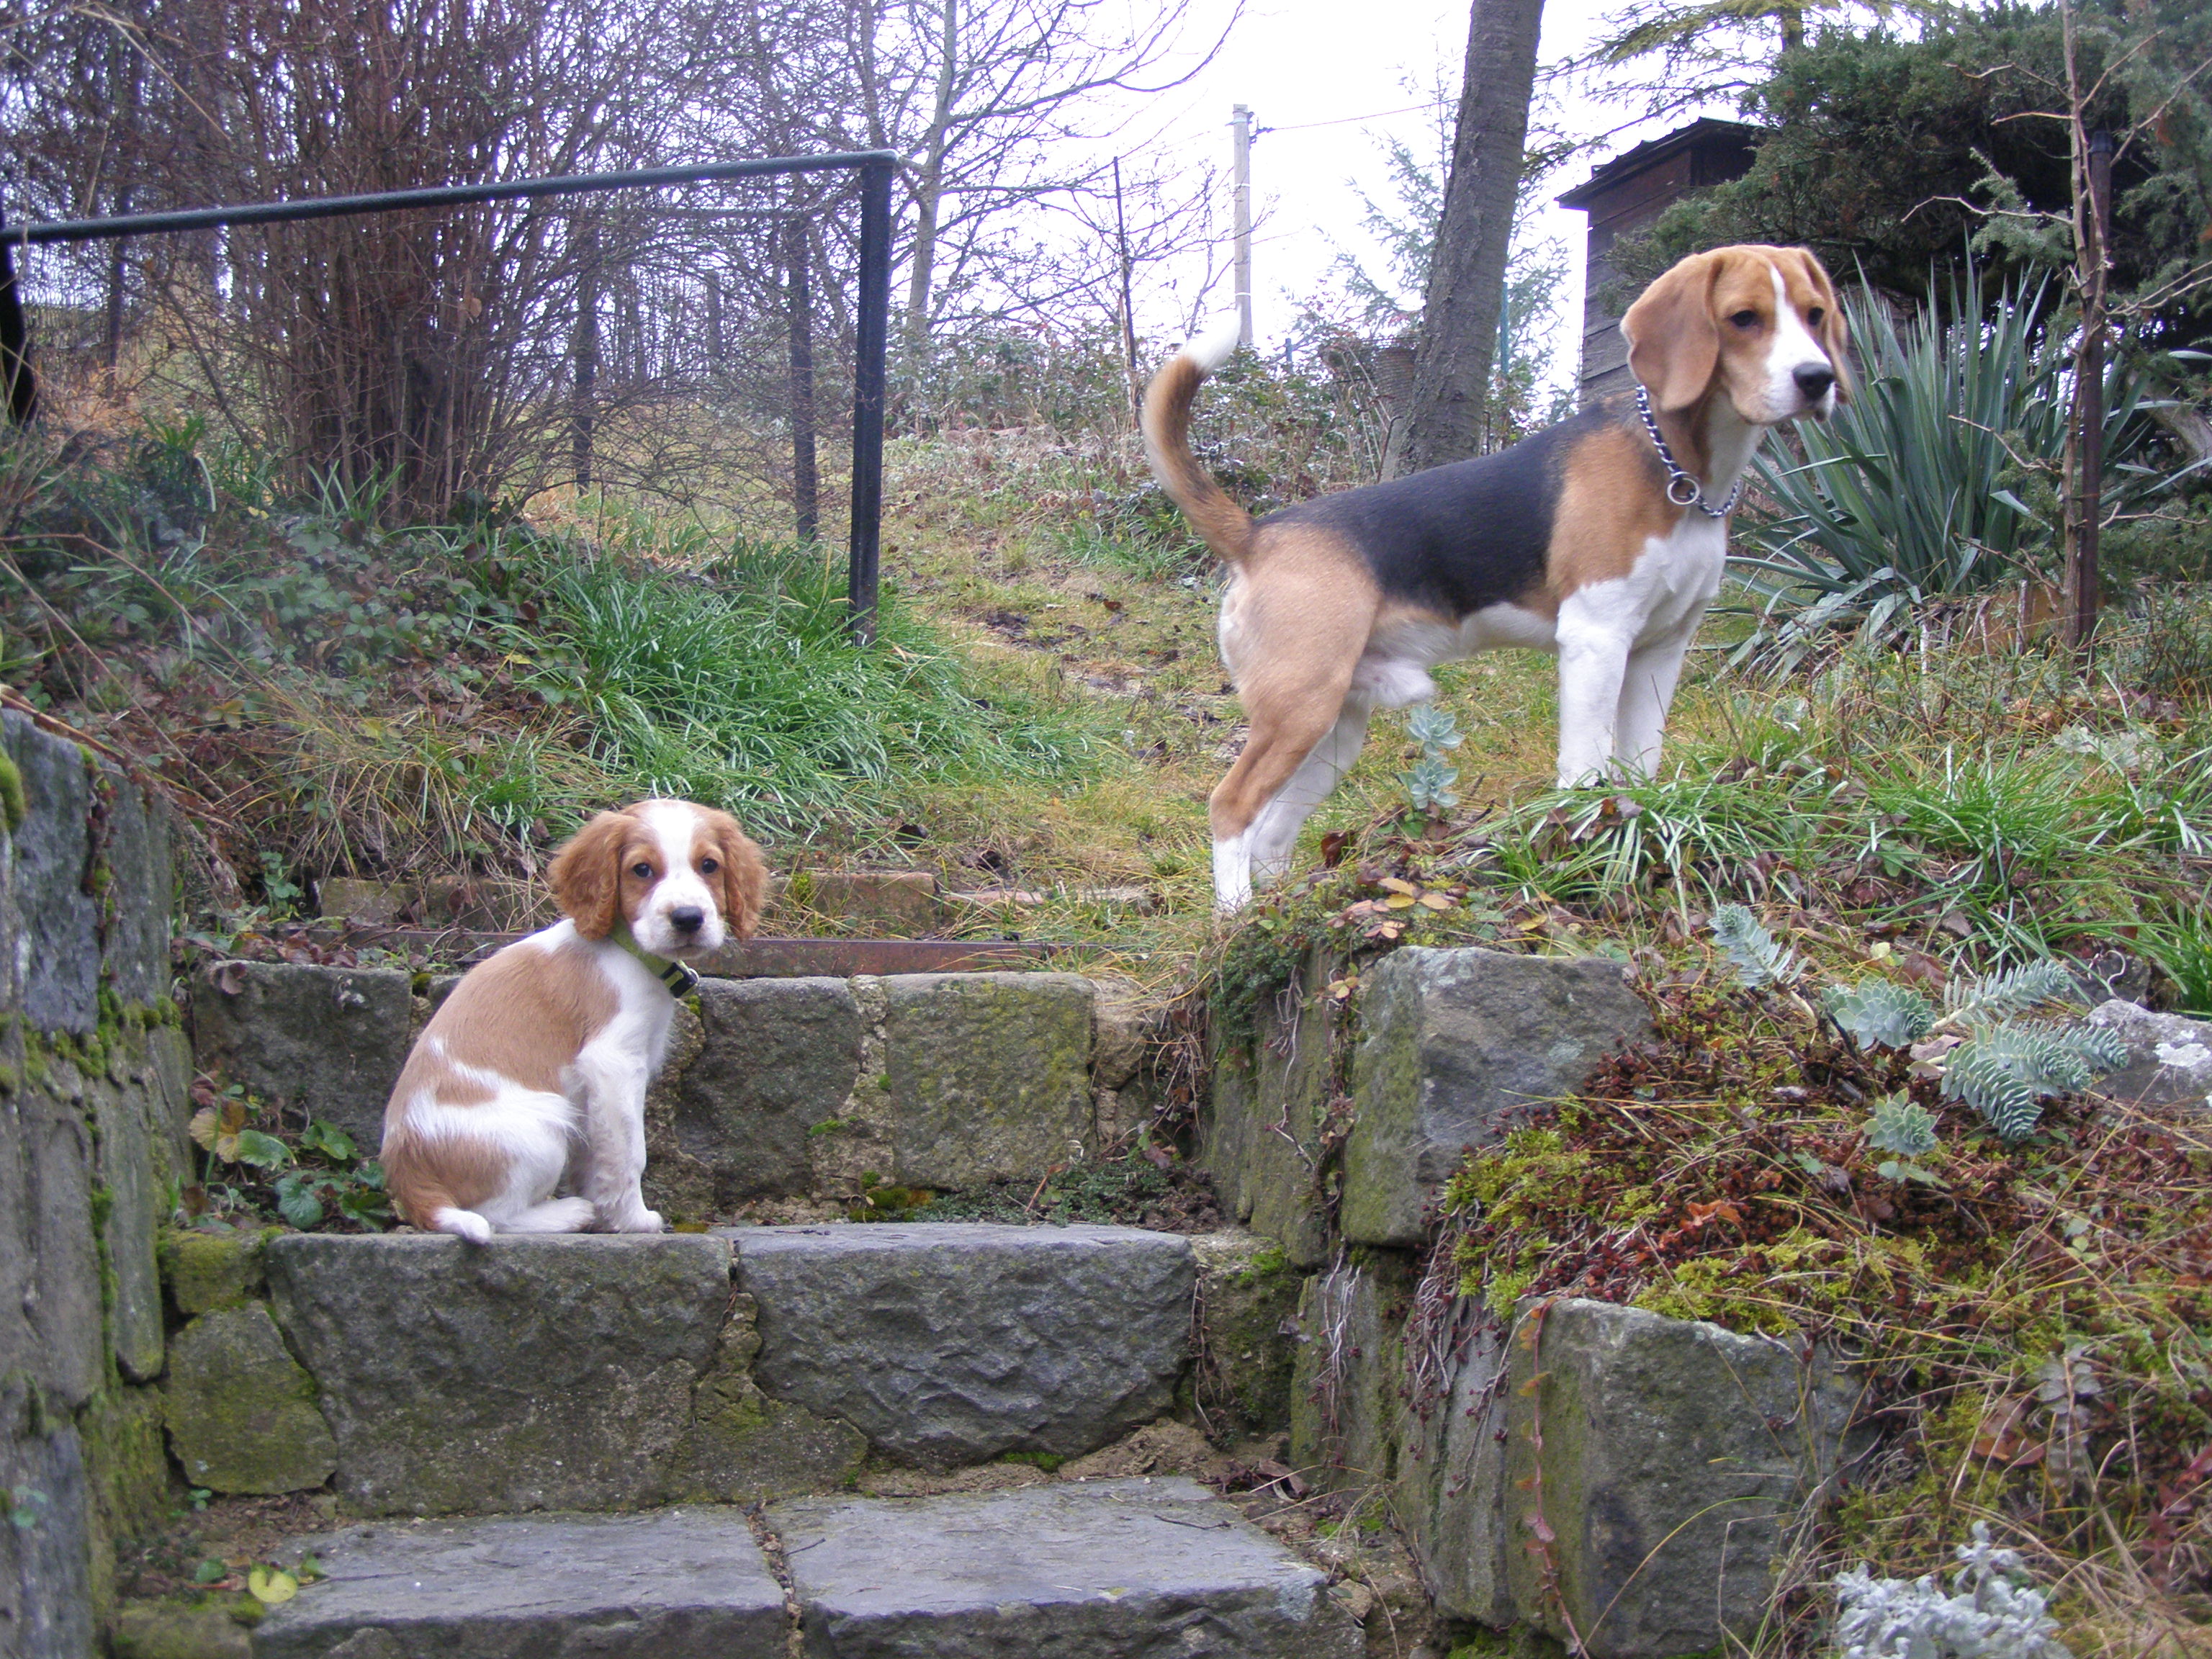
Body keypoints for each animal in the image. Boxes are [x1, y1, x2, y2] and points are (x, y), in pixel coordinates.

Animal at [380, 799, 768, 1241]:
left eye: (709, 865)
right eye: (642, 870)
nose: (688, 918)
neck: (627, 949)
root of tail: (410, 1177)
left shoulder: (593, 1092)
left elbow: (597, 1157)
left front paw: (606, 1213)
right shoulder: (613, 1063)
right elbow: (629, 1154)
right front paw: (632, 1220)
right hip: (542, 1129)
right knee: (495, 1216)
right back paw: (568, 1214)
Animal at [1142, 244, 1850, 910]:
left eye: (1815, 314)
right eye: (1743, 318)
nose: (1817, 379)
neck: (1679, 469)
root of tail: (1258, 533)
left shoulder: (1662, 649)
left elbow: (1640, 762)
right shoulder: (1596, 640)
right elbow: (1586, 766)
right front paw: (1580, 846)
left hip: (1333, 729)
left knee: (1270, 834)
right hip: (1299, 710)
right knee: (1231, 808)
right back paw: (1233, 918)